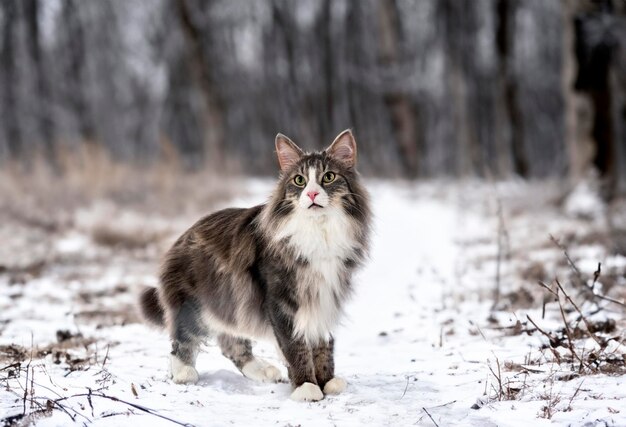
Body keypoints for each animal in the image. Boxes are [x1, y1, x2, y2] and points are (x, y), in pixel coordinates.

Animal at [139, 130, 368, 402]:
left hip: (230, 303)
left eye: (329, 177)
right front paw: (306, 386)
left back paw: (265, 371)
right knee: (182, 339)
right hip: (196, 304)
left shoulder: (325, 298)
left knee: (231, 344)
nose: (312, 194)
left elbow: (322, 344)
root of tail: (179, 240)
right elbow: (297, 347)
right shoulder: (281, 302)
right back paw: (184, 372)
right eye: (300, 180)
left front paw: (327, 381)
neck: (319, 232)